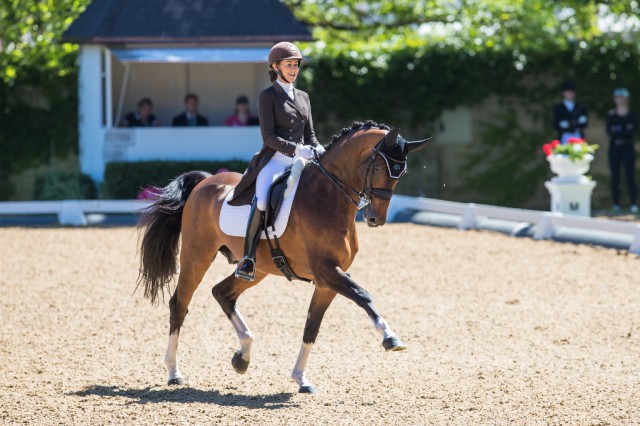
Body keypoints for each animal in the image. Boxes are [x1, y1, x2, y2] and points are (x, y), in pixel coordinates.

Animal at [138, 120, 432, 392]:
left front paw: (301, 379)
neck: (327, 197)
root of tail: (207, 181)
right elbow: (363, 294)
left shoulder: (327, 282)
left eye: (401, 173)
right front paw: (390, 337)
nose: (375, 219)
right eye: (380, 168)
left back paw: (243, 356)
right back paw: (174, 372)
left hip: (257, 269)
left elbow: (311, 327)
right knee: (180, 304)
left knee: (222, 293)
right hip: (196, 256)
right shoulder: (327, 272)